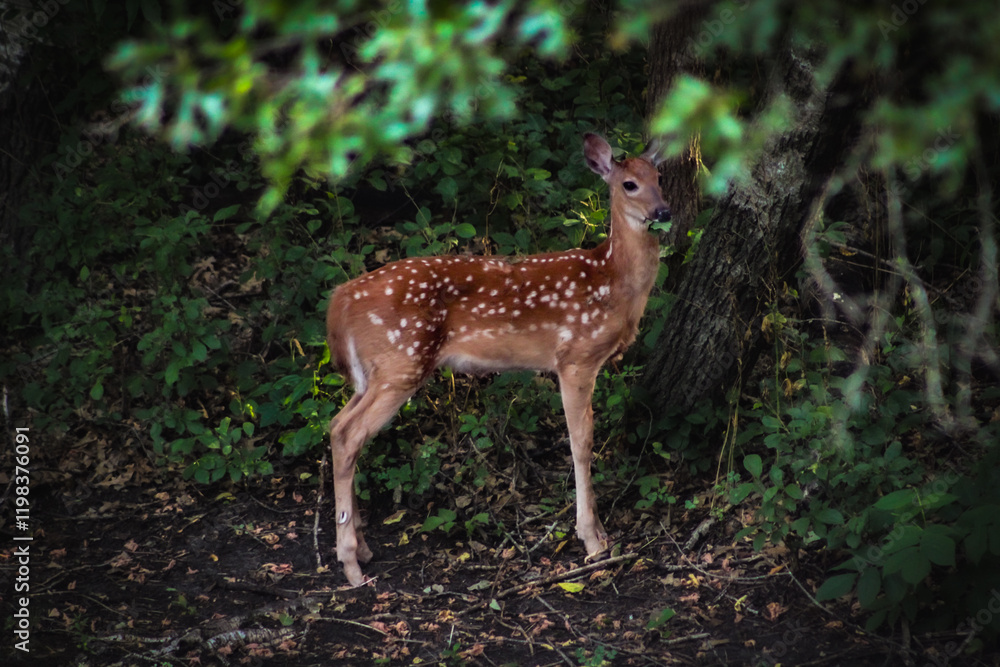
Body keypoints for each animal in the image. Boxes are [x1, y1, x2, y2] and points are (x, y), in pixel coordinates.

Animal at [325, 133, 670, 585]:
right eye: (630, 184)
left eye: (660, 178)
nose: (663, 211)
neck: (613, 282)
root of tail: (340, 300)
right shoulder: (575, 356)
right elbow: (581, 442)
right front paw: (593, 539)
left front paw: (598, 532)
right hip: (402, 360)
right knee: (349, 435)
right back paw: (350, 565)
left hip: (374, 372)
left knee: (337, 426)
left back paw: (361, 549)